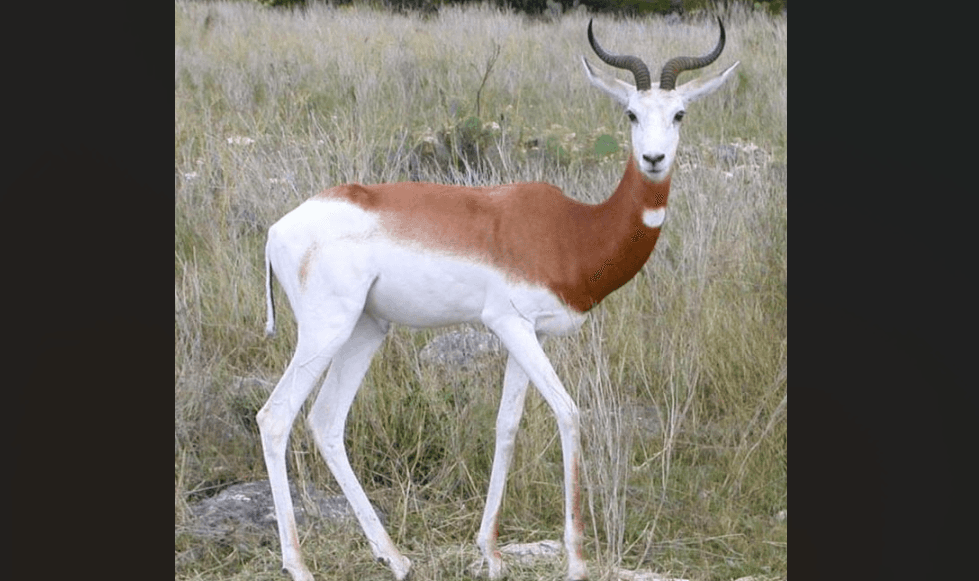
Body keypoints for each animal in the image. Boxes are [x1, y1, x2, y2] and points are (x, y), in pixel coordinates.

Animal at [258, 18, 739, 581]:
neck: (572, 229)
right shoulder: (509, 324)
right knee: (276, 417)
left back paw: (395, 557)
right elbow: (569, 413)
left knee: (327, 422)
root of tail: (277, 229)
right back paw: (300, 565)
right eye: (631, 112)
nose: (654, 159)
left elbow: (506, 426)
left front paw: (490, 550)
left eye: (680, 113)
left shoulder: (525, 335)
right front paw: (576, 559)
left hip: (365, 329)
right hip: (326, 330)